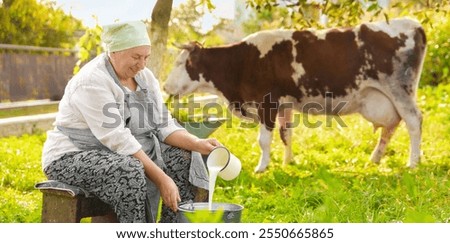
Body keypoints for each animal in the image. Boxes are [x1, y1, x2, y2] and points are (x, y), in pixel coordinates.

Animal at [163, 17, 428, 173]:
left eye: (179, 63)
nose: (165, 86)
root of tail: (410, 24)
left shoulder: (267, 103)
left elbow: (264, 140)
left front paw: (262, 167)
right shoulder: (284, 105)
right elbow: (286, 134)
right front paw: (287, 162)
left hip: (400, 90)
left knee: (414, 121)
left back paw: (413, 163)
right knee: (392, 125)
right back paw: (375, 159)